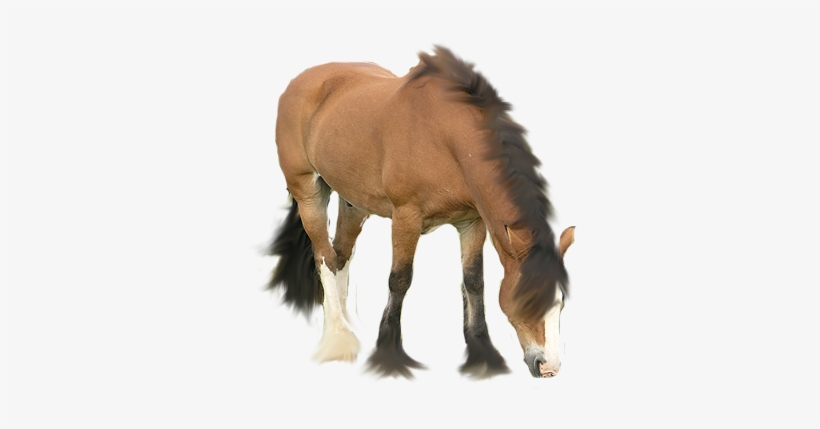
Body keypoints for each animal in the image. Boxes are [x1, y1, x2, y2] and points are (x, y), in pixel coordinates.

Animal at [267, 46, 574, 378]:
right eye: (527, 300)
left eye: (560, 302)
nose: (548, 367)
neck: (446, 137)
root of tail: (300, 81)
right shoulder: (406, 218)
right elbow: (399, 280)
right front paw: (388, 354)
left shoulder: (472, 222)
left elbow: (474, 281)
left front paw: (483, 353)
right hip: (307, 191)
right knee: (324, 256)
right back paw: (338, 337)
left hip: (353, 203)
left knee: (340, 256)